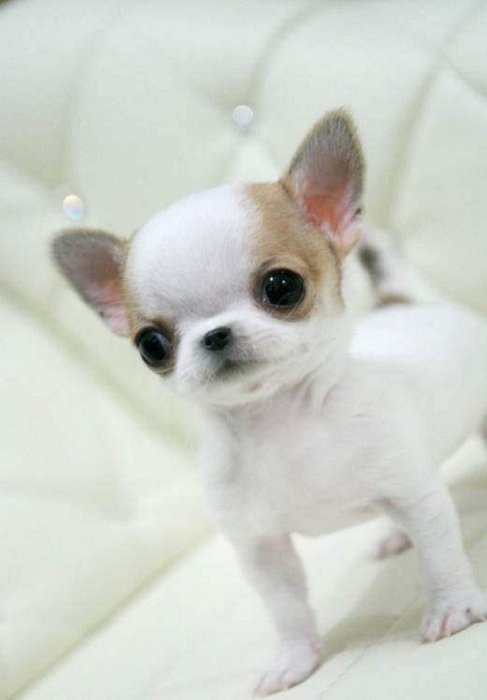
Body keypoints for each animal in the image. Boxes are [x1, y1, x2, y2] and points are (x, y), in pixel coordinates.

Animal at [52, 110, 487, 695]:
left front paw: (452, 608)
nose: (215, 335)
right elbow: (287, 608)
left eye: (282, 287)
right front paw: (295, 658)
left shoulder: (415, 496)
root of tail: (403, 304)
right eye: (151, 345)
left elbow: (440, 557)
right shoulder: (263, 550)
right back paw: (393, 536)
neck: (279, 421)